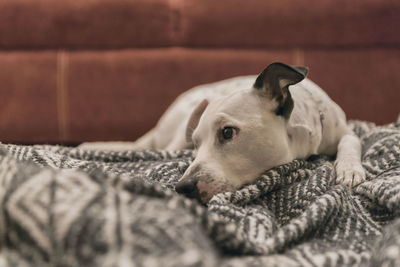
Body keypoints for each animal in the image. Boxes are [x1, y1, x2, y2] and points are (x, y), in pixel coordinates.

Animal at [80, 62, 366, 204]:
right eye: (196, 144)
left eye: (227, 133)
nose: (182, 187)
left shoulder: (345, 131)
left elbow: (351, 142)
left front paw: (349, 169)